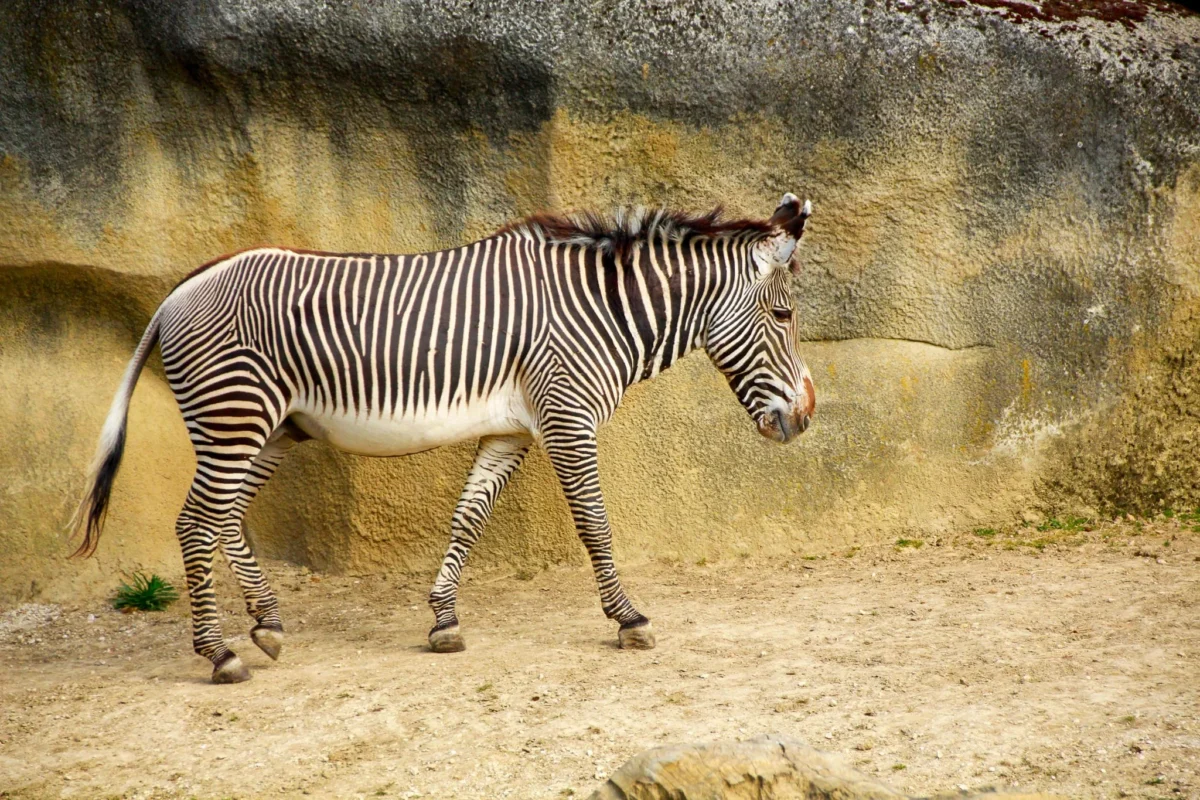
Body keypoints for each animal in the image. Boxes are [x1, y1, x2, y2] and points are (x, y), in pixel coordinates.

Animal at [69, 193, 815, 684]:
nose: (807, 417)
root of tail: (178, 292)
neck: (598, 311)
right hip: (236, 418)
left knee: (225, 519)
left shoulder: (510, 431)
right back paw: (219, 653)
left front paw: (443, 621)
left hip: (270, 427)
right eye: (783, 316)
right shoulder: (567, 416)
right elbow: (595, 524)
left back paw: (267, 626)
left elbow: (467, 519)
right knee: (197, 523)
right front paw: (629, 619)